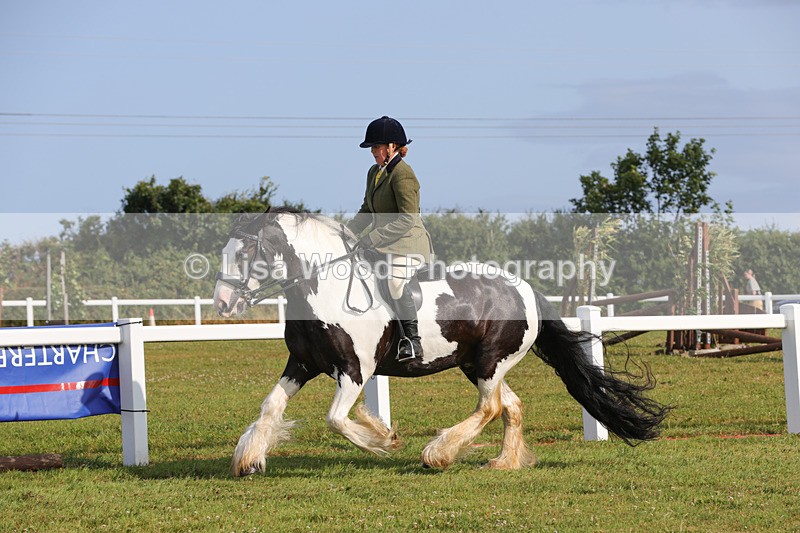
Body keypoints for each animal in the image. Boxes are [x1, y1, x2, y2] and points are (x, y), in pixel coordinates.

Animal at [213, 208, 670, 476]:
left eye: (246, 252)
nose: (222, 303)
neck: (323, 290)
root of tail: (525, 288)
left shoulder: (355, 371)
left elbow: (336, 419)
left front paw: (384, 438)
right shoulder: (303, 364)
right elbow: (271, 405)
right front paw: (248, 459)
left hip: (489, 362)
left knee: (489, 407)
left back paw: (439, 454)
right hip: (479, 364)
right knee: (511, 406)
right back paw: (503, 462)